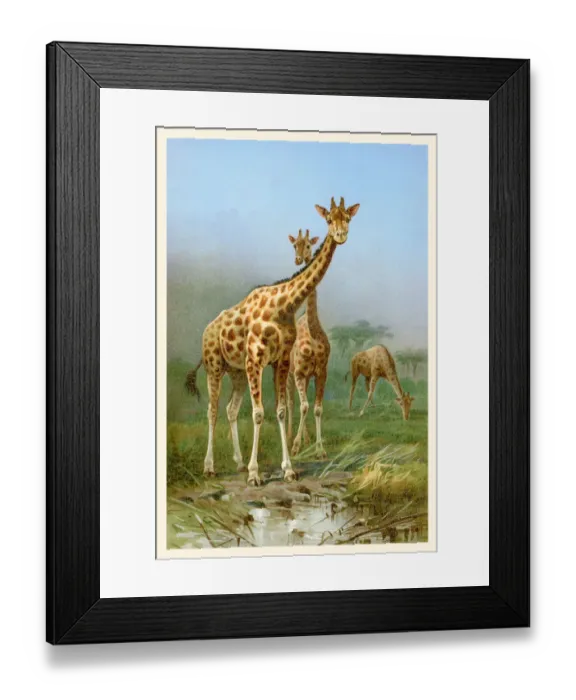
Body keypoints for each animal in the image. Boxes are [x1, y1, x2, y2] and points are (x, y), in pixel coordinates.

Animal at [185, 197, 360, 486]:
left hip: (237, 372)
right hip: (215, 366)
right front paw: (256, 474)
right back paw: (209, 467)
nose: (341, 234)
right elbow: (258, 413)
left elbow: (279, 410)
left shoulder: (281, 360)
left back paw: (239, 463)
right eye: (328, 218)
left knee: (231, 410)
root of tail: (207, 330)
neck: (285, 305)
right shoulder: (256, 359)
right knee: (212, 410)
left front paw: (288, 470)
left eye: (348, 217)